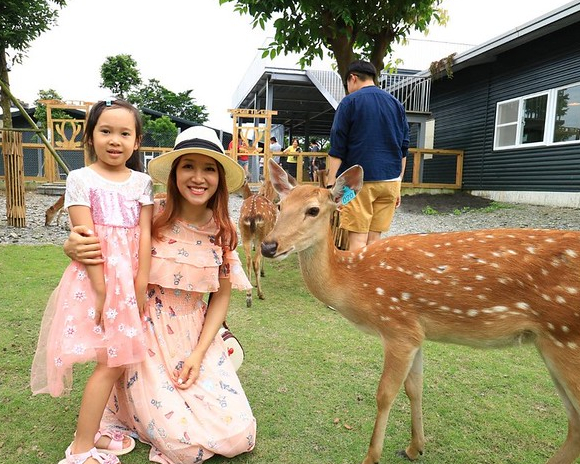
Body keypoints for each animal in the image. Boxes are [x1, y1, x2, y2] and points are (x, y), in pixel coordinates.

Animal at [262, 160, 580, 464]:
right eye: (279, 206)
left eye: (313, 210)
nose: (268, 245)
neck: (356, 281)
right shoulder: (416, 333)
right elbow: (414, 388)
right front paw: (415, 447)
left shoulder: (397, 327)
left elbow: (385, 394)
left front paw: (371, 457)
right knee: (574, 421)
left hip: (565, 338)